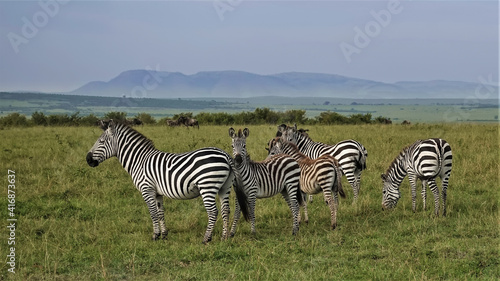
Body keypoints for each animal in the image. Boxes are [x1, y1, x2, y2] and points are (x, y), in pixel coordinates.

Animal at [86, 119, 242, 242]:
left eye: (101, 141)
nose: (88, 159)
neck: (139, 160)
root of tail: (225, 155)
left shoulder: (147, 189)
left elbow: (153, 213)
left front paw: (155, 236)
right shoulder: (157, 192)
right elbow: (161, 213)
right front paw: (164, 235)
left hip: (207, 186)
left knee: (213, 211)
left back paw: (206, 239)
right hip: (225, 187)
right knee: (225, 210)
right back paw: (224, 238)